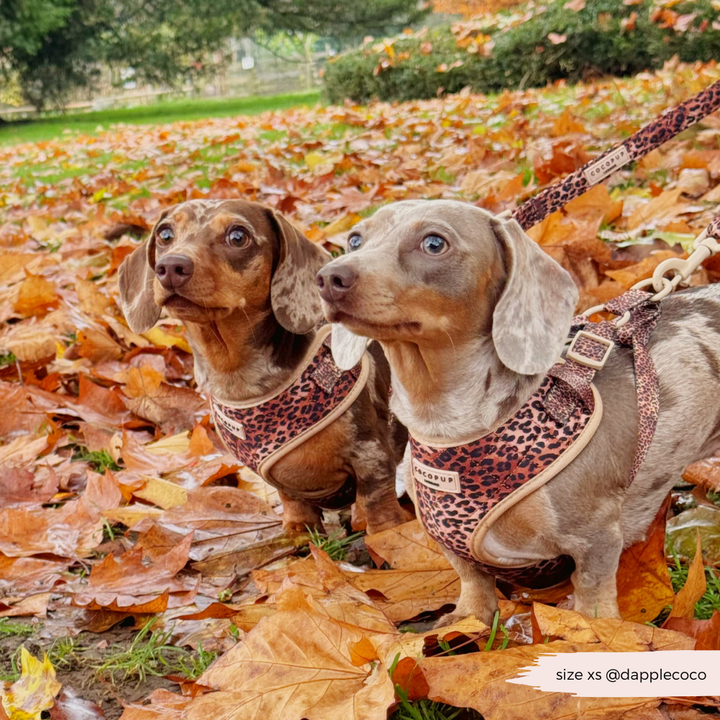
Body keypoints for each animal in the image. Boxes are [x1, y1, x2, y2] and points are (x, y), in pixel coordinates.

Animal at [121, 200, 408, 536]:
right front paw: (298, 530)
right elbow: (293, 502)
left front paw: (388, 536)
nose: (170, 267)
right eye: (165, 234)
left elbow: (378, 506)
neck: (240, 379)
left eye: (238, 236)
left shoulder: (371, 454)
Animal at [318, 198, 720, 624]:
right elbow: (473, 584)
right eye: (354, 239)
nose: (329, 277)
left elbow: (593, 601)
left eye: (434, 243)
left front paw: (594, 631)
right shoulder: (450, 546)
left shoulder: (596, 538)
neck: (448, 426)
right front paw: (467, 621)